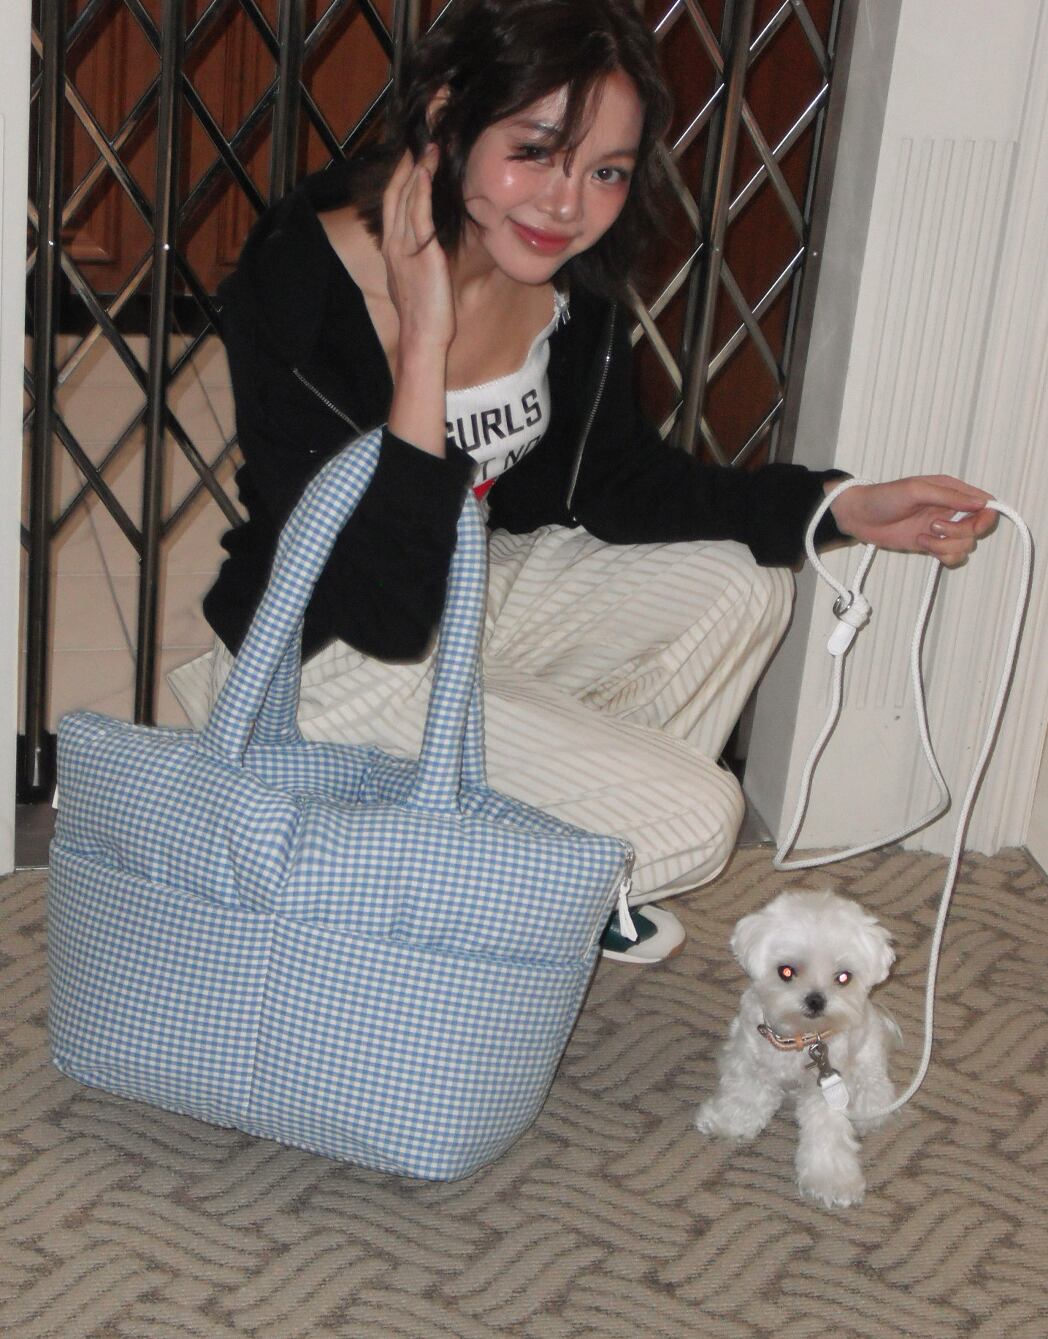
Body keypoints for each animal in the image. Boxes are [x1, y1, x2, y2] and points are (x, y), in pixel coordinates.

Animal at [694, 890, 899, 1208]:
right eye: (786, 971)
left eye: (843, 977)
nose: (816, 1000)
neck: (798, 1039)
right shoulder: (750, 1061)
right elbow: (744, 1096)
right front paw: (730, 1121)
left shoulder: (827, 1088)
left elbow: (827, 1134)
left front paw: (832, 1180)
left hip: (868, 1063)